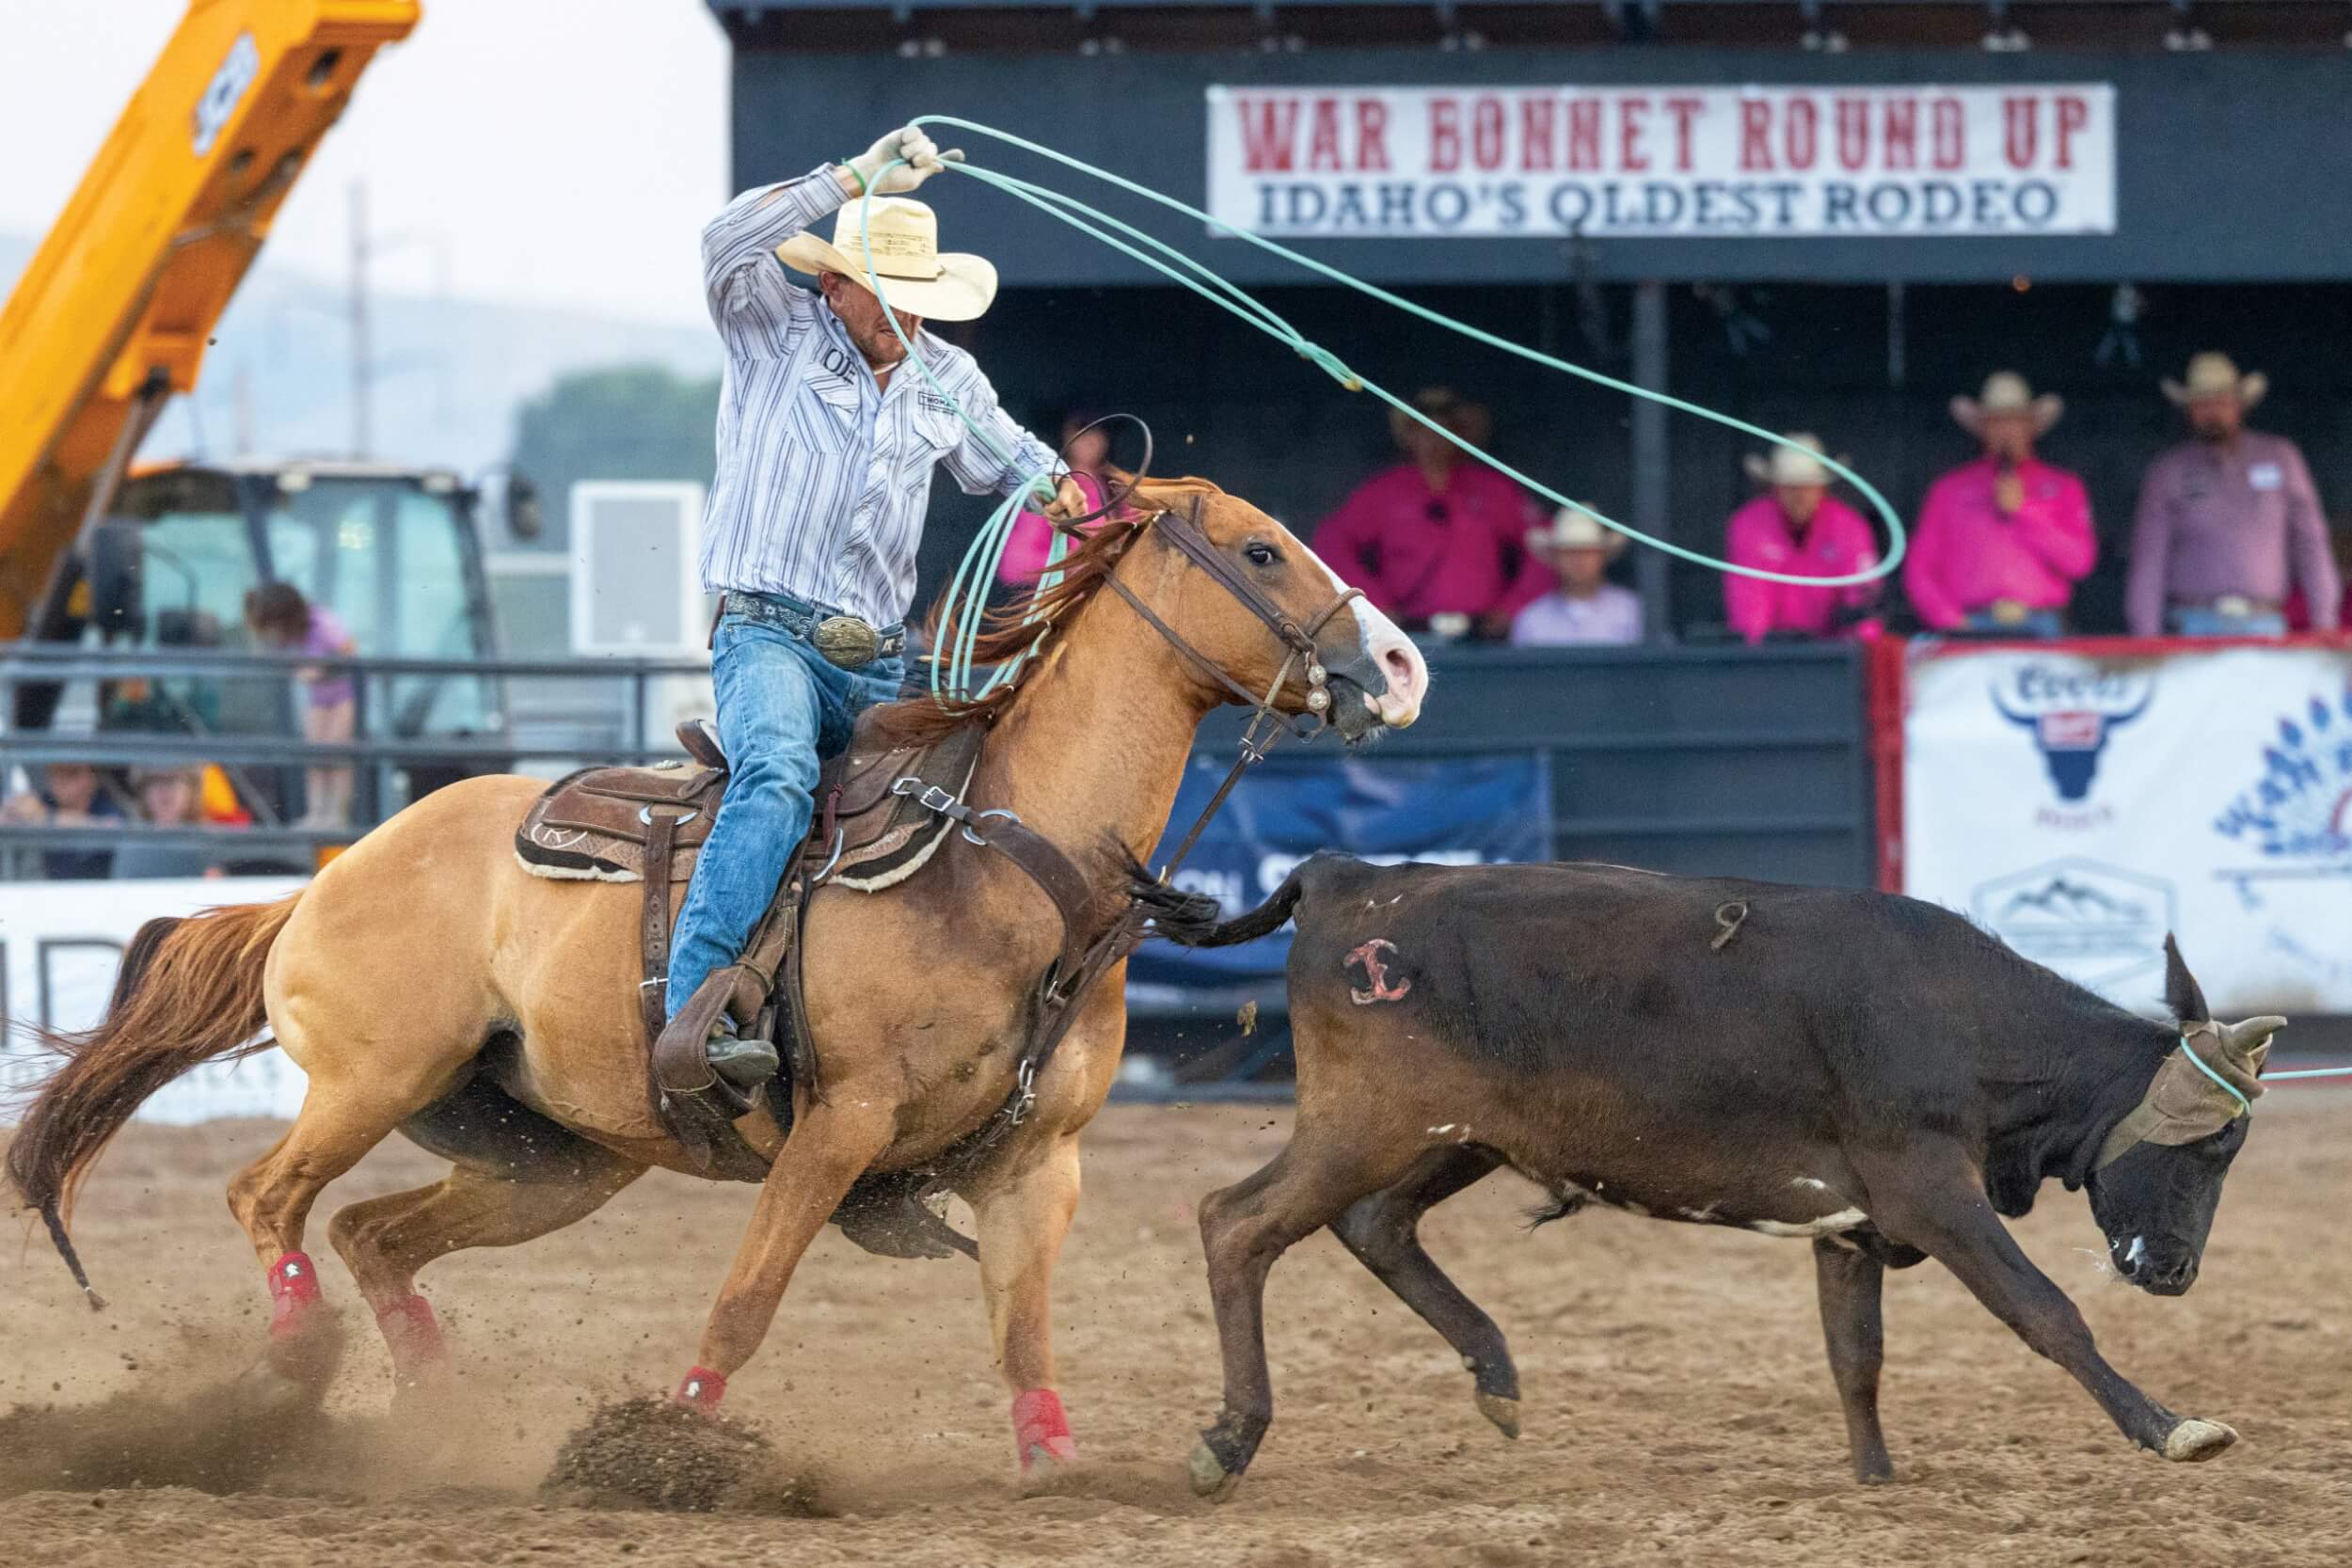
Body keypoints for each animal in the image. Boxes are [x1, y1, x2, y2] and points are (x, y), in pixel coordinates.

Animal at [6, 477, 1429, 1477]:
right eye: (1260, 549)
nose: (1403, 664)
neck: (1006, 859)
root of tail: (321, 879)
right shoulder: (838, 1126)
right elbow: (746, 1301)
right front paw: (671, 1448)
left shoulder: (1042, 1160)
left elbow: (1022, 1328)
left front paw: (1058, 1462)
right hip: (373, 1078)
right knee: (268, 1195)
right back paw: (296, 1362)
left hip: (553, 1158)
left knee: (370, 1231)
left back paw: (433, 1409)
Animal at [1144, 854, 2285, 1497]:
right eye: (2214, 1148)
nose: (2175, 1270)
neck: (1961, 1019)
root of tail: (1346, 875)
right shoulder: (1928, 1188)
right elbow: (2045, 1310)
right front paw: (2172, 1427)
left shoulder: (1850, 1223)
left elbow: (1856, 1355)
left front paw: (1876, 1480)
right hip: (1364, 1123)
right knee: (1235, 1221)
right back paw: (1230, 1440)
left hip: (1450, 1137)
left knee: (1375, 1226)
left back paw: (1496, 1375)